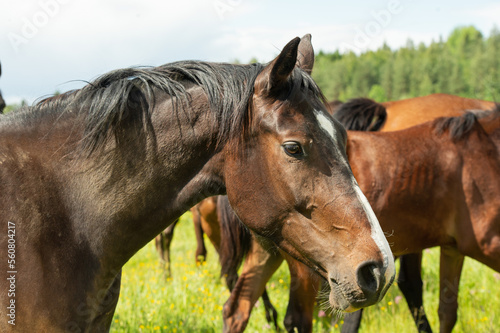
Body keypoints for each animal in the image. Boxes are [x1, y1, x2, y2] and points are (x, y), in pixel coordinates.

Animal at [218, 107, 500, 332]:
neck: (481, 153)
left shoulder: (453, 249)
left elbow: (446, 312)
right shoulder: (486, 245)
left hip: (271, 252)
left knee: (237, 308)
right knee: (297, 319)